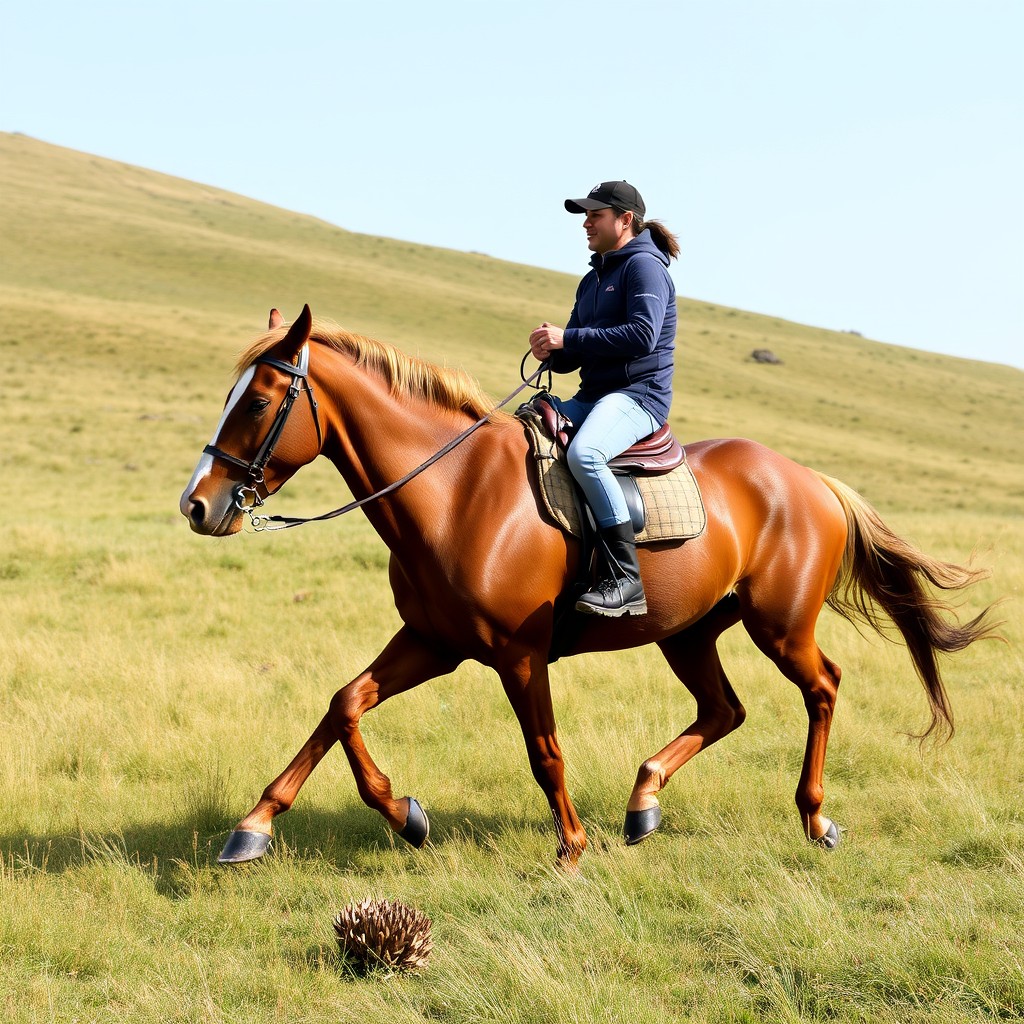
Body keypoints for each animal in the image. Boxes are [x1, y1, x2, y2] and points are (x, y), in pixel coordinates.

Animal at [180, 307, 995, 868]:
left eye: (257, 402)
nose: (198, 505)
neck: (457, 493)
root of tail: (811, 480)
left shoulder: (517, 655)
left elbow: (544, 751)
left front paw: (570, 846)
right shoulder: (433, 642)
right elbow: (342, 707)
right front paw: (295, 822)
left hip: (781, 628)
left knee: (822, 688)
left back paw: (814, 817)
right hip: (688, 633)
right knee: (724, 710)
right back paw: (643, 802)